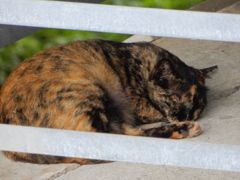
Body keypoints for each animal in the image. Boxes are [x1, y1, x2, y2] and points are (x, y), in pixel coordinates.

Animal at [0, 39, 218, 165]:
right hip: (85, 91)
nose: (186, 115)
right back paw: (184, 129)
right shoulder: (137, 104)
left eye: (198, 106)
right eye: (174, 99)